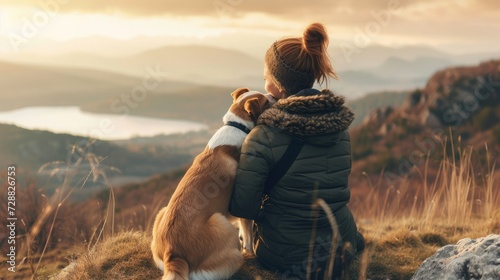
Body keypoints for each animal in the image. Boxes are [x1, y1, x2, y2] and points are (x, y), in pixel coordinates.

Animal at [151, 88, 272, 280]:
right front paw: (250, 251)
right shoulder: (243, 203)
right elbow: (248, 234)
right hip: (221, 222)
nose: (273, 96)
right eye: (265, 102)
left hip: (162, 211)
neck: (237, 125)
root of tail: (173, 254)